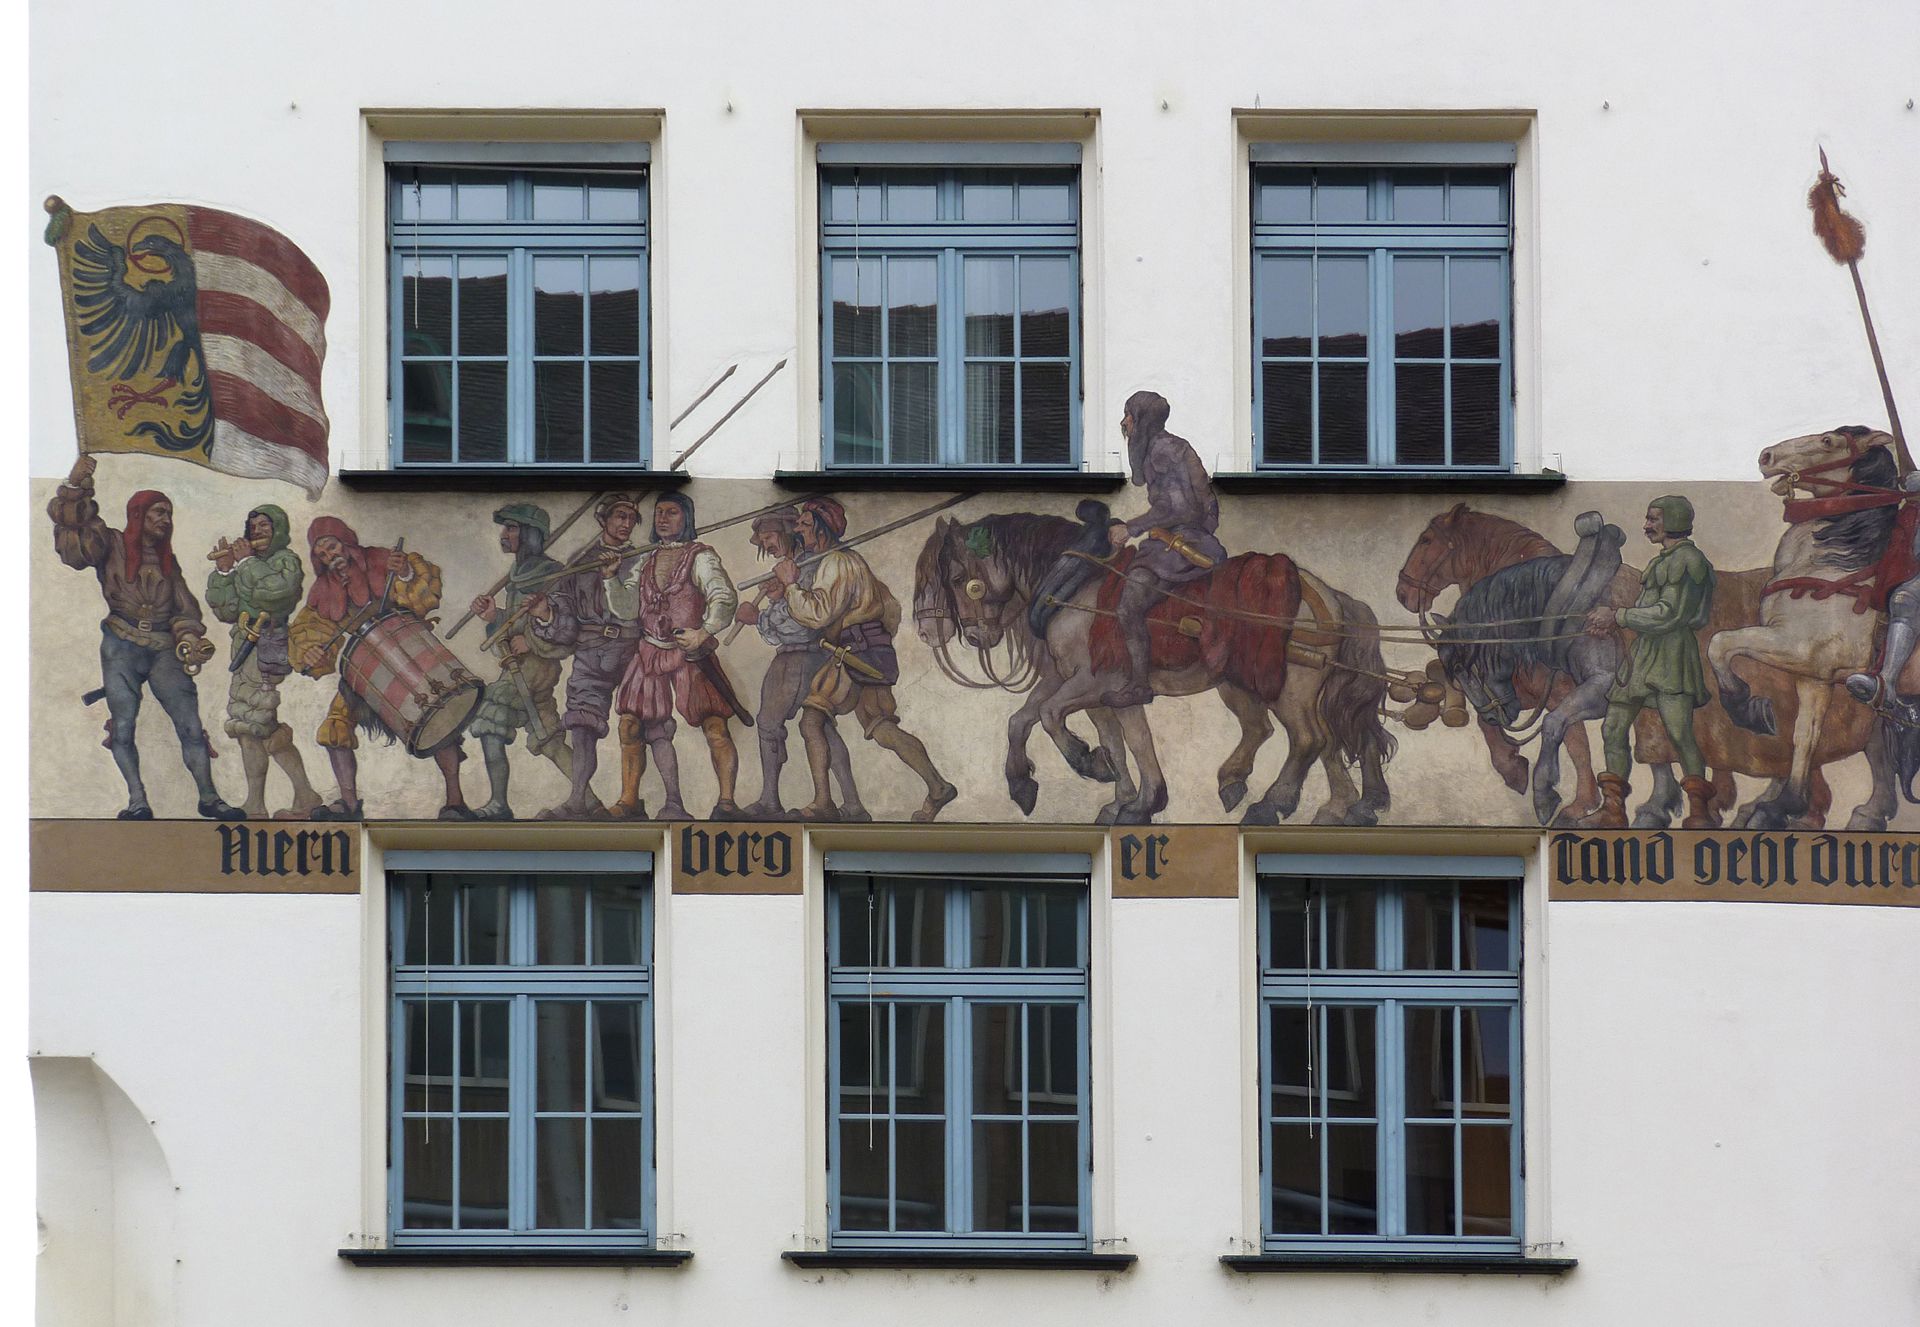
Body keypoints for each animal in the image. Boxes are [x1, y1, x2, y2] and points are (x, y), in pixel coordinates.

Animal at [1397, 503, 1873, 825]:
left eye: (1427, 542)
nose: (1403, 593)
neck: (1564, 604)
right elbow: (1548, 734)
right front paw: (1525, 774)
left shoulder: (1586, 690)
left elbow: (1564, 733)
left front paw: (1556, 797)